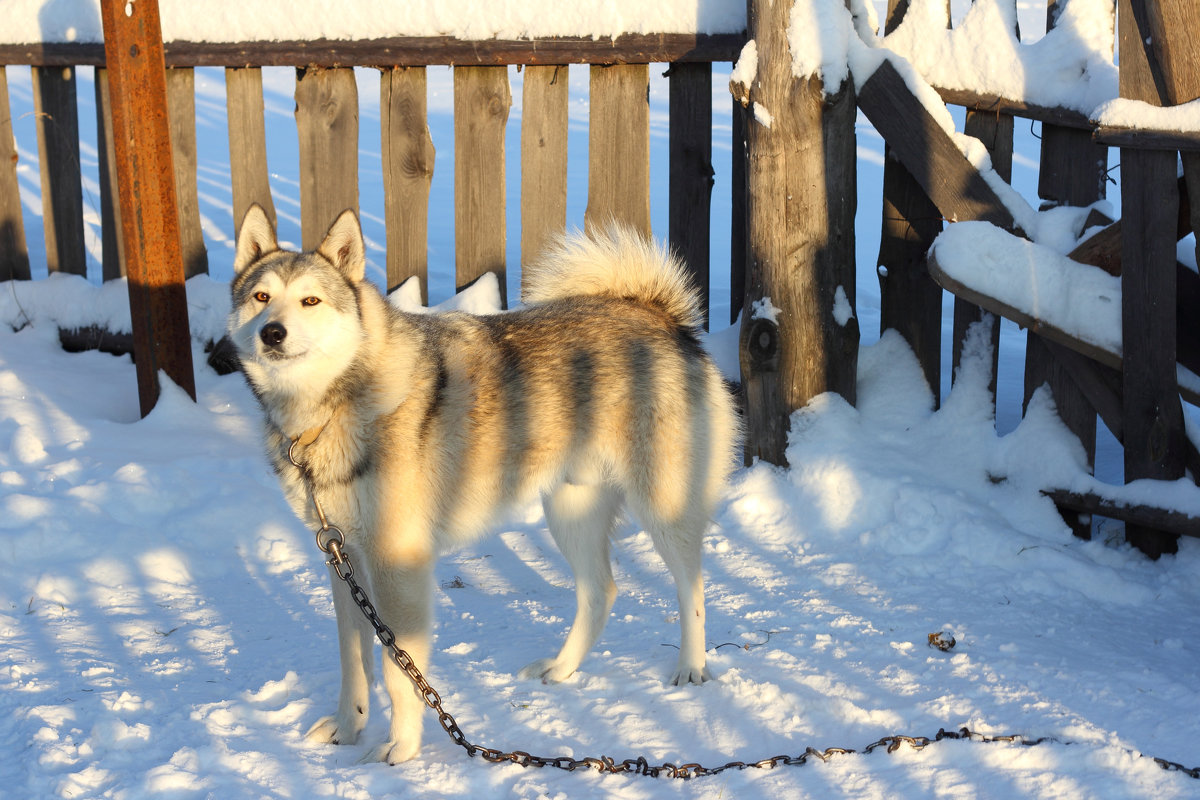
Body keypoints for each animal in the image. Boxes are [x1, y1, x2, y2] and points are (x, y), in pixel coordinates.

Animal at [220, 205, 734, 762]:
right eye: (261, 297)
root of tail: (659, 315)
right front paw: (347, 728)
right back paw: (562, 668)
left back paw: (691, 666)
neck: (335, 405)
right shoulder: (343, 560)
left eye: (310, 300)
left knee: (692, 588)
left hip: (663, 507)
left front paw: (400, 748)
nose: (272, 333)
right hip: (570, 512)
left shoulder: (396, 564)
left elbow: (398, 669)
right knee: (602, 591)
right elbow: (353, 661)